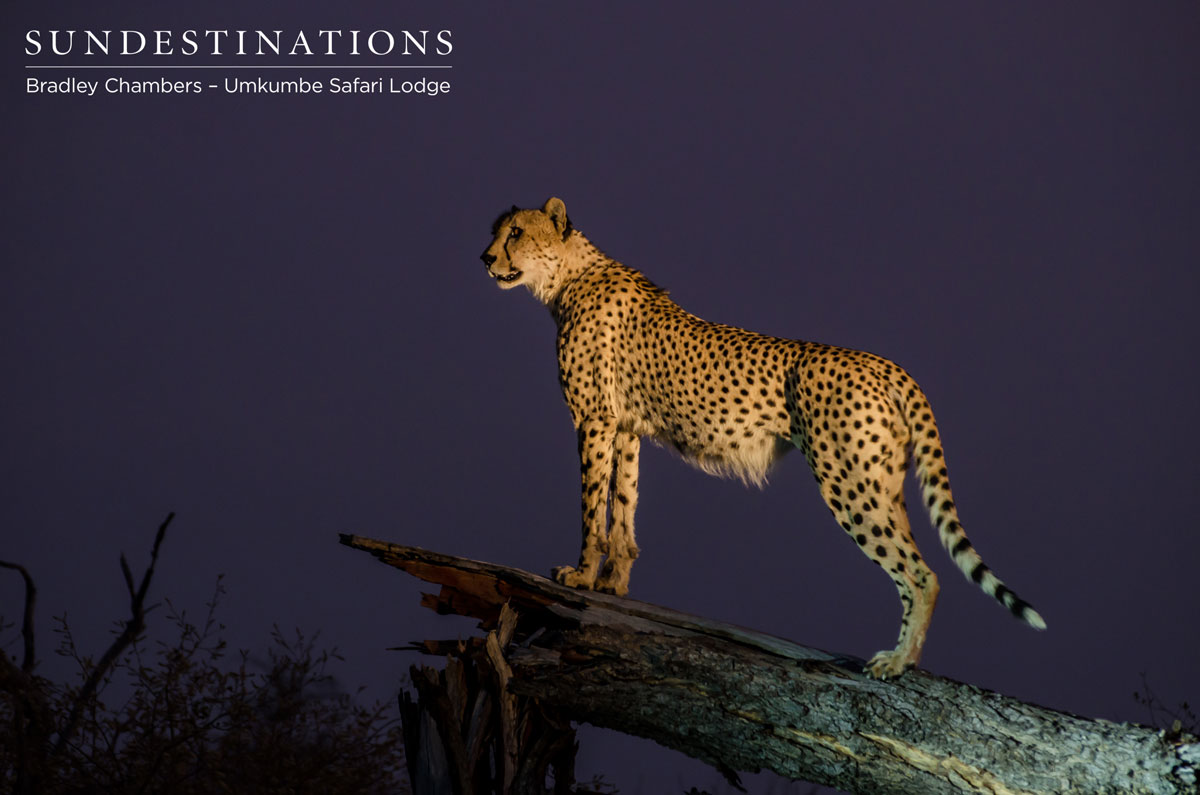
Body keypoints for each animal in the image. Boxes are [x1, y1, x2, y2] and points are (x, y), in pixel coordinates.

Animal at [479, 197, 1045, 679]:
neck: (568, 275)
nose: (484, 258)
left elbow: (591, 507)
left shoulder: (594, 420)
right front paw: (612, 585)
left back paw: (897, 663)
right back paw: (904, 656)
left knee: (921, 573)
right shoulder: (626, 428)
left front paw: (579, 576)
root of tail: (887, 365)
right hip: (880, 481)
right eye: (497, 231)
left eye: (516, 233)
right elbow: (622, 506)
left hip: (847, 482)